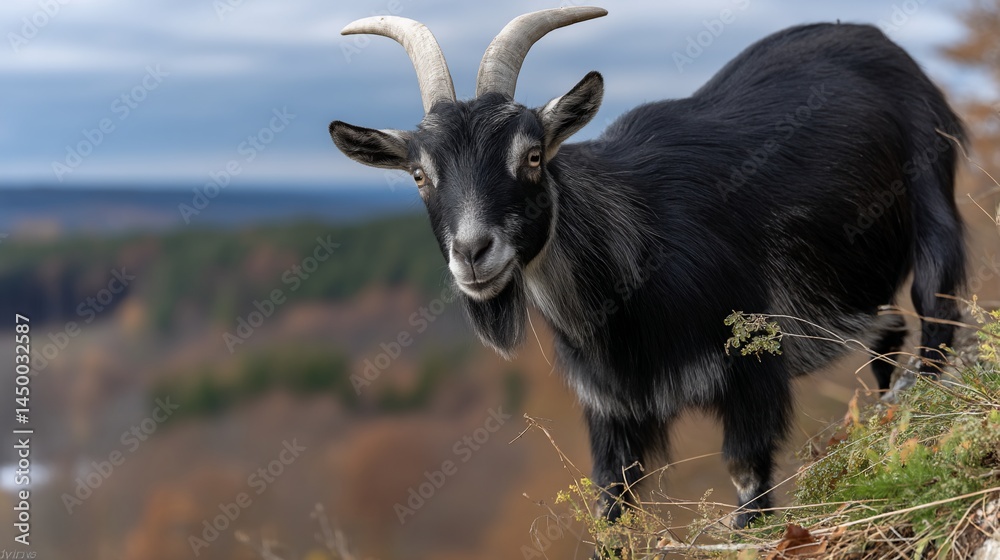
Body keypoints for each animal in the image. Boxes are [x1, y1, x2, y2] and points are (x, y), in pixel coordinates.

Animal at [328, 7, 966, 528]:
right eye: (418, 175)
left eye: (531, 156)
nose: (472, 252)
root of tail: (878, 41)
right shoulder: (611, 411)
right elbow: (613, 509)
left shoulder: (751, 371)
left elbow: (748, 486)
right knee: (889, 332)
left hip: (934, 204)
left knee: (936, 318)